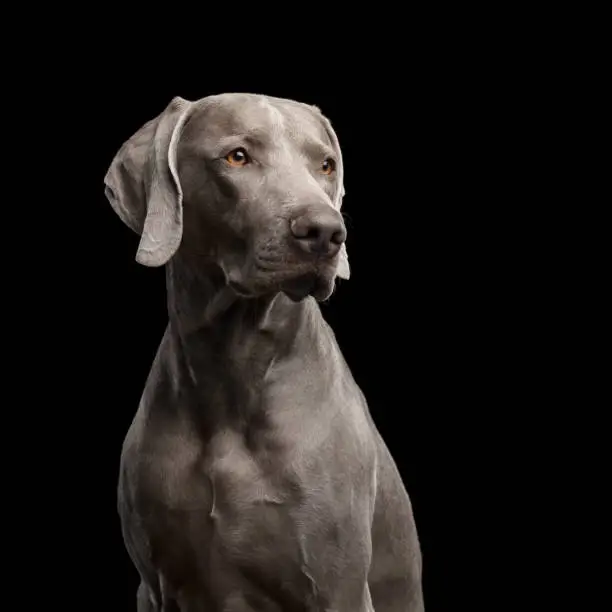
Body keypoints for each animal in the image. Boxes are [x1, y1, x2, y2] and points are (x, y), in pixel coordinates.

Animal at [105, 92, 424, 612]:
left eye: (325, 164)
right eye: (237, 156)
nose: (326, 231)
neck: (233, 371)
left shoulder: (338, 585)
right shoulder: (155, 585)